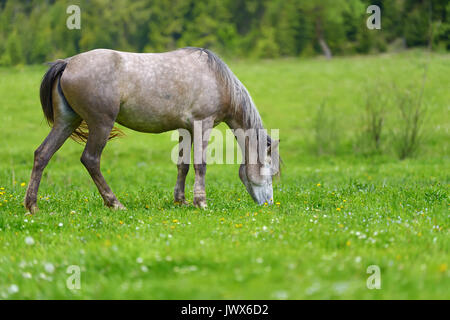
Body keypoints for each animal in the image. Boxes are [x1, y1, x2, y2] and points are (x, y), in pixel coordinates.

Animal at [24, 47, 280, 212]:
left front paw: (181, 201)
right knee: (90, 159)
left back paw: (32, 205)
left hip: (67, 122)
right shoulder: (202, 125)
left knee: (42, 154)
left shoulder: (185, 129)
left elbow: (183, 165)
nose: (268, 204)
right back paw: (115, 203)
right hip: (101, 124)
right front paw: (201, 202)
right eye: (271, 170)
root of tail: (67, 63)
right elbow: (200, 164)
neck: (217, 80)